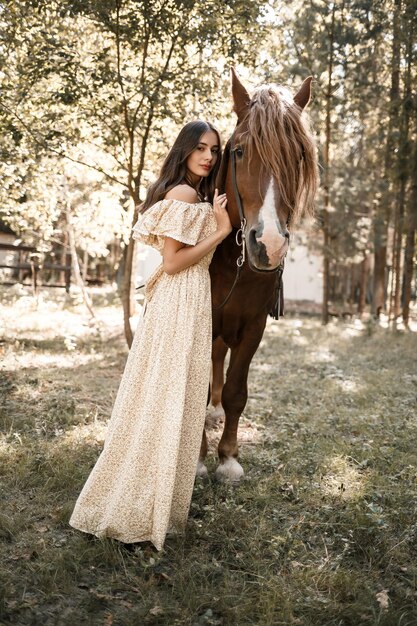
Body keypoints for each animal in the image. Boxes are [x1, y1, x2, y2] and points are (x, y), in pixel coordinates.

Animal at [197, 68, 320, 480]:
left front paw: (228, 458)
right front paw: (197, 459)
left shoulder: (253, 326)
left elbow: (237, 391)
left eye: (298, 156)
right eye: (238, 151)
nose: (269, 243)